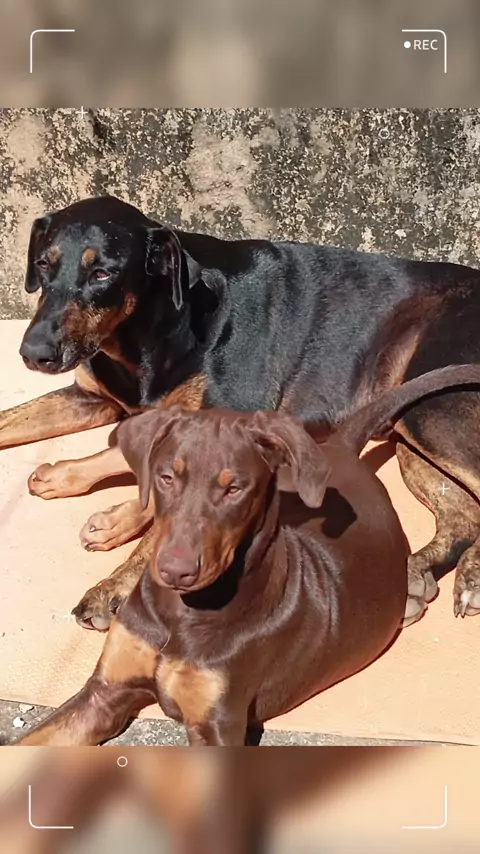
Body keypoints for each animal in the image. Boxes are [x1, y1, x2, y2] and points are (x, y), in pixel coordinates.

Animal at [3, 195, 480, 629]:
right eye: (43, 264)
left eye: (102, 273)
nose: (33, 353)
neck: (152, 328)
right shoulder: (94, 397)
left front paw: (113, 585)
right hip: (412, 426)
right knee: (465, 517)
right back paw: (414, 575)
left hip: (433, 413)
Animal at [14, 364, 480, 748]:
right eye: (167, 476)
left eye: (235, 488)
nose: (176, 571)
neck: (180, 616)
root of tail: (343, 451)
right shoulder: (105, 693)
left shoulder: (217, 725)